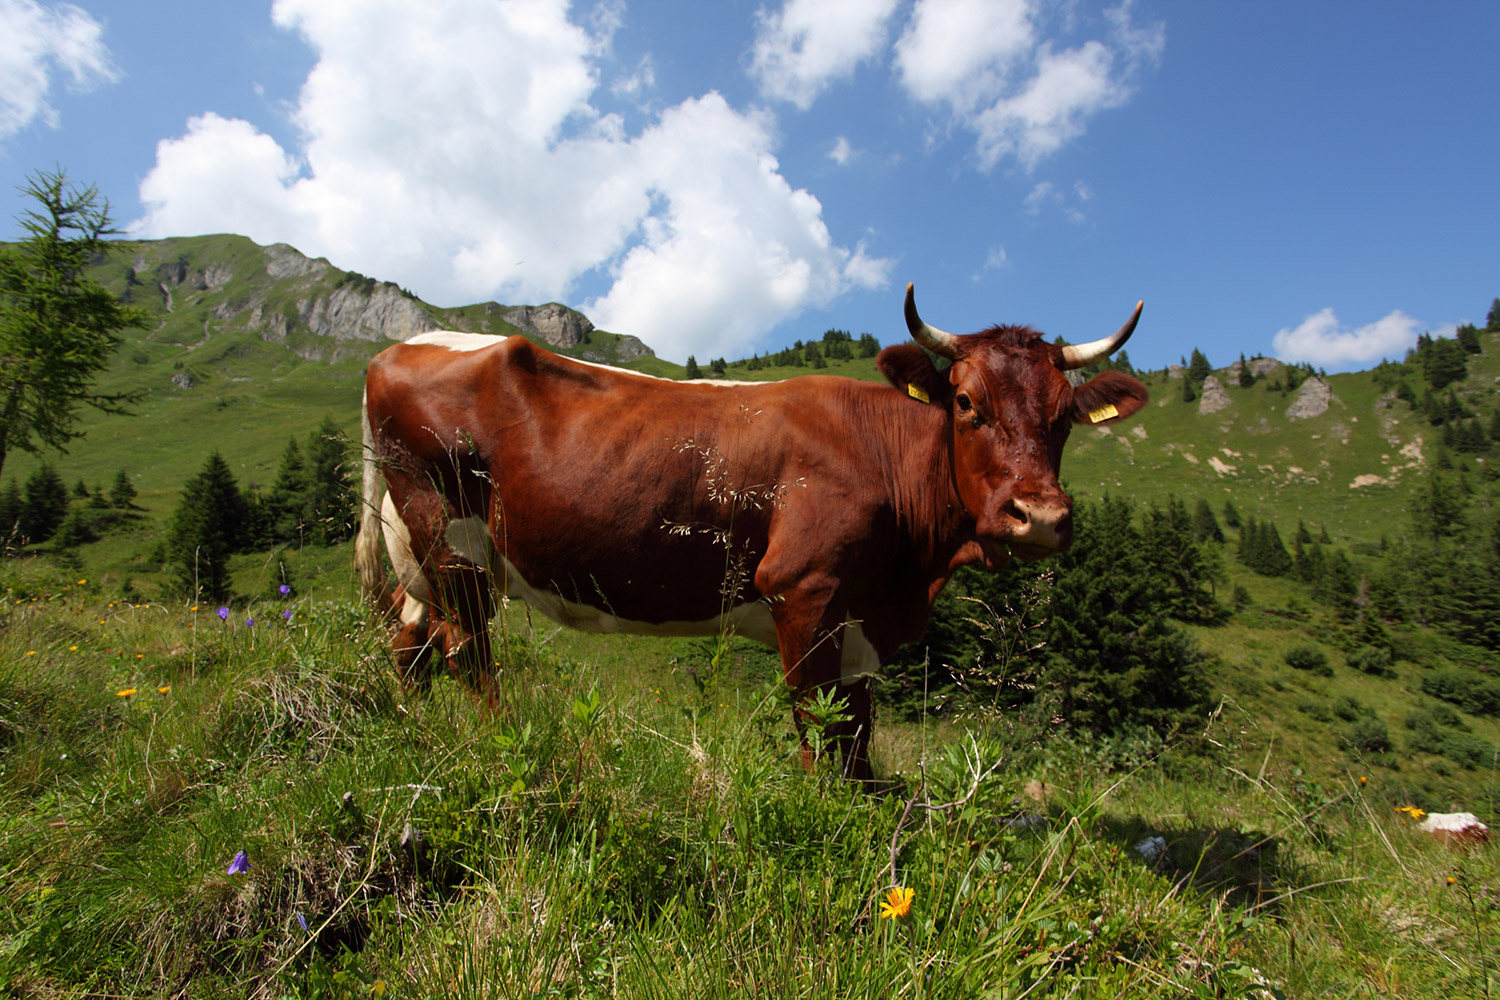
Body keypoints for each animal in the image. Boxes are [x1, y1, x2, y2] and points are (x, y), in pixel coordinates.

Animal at [355, 284, 1148, 781]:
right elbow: (818, 730)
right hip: (448, 532)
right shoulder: (803, 590)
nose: (1039, 516)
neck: (911, 578)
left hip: (420, 549)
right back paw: (500, 746)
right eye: (965, 402)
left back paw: (416, 736)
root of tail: (400, 348)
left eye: (1066, 415)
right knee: (468, 654)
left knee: (410, 639)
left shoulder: (860, 624)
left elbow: (858, 739)